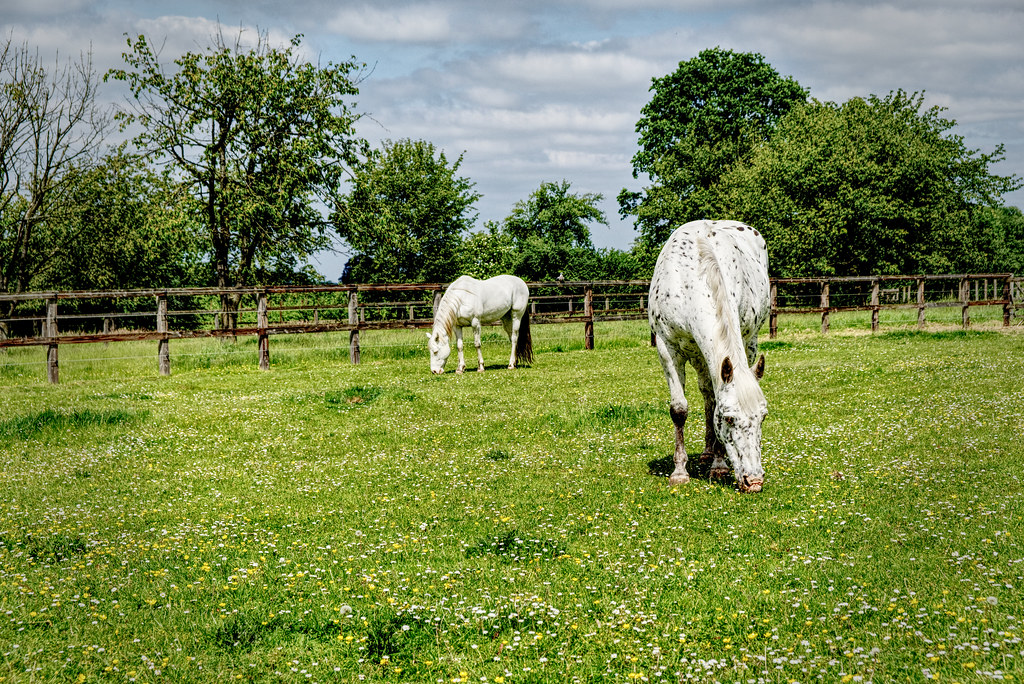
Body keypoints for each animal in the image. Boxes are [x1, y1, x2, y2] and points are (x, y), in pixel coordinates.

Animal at [648, 219, 770, 493]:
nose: (754, 481)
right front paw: (679, 471)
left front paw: (719, 465)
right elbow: (679, 409)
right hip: (697, 355)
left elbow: (714, 401)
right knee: (706, 392)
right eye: (729, 418)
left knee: (709, 396)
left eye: (763, 417)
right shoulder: (667, 349)